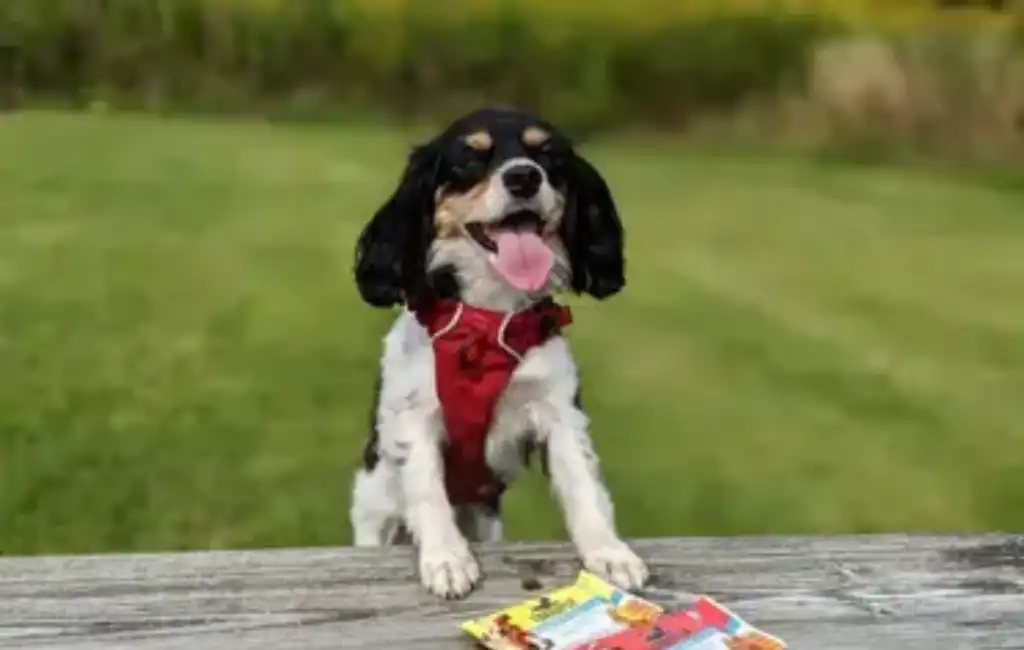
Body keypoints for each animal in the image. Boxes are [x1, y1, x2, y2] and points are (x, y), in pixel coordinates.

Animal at [348, 106, 643, 601]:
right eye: (471, 157)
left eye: (548, 155)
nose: (524, 177)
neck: (487, 324)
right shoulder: (414, 416)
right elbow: (427, 487)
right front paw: (447, 559)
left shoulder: (560, 413)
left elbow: (584, 484)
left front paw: (609, 552)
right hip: (375, 509)